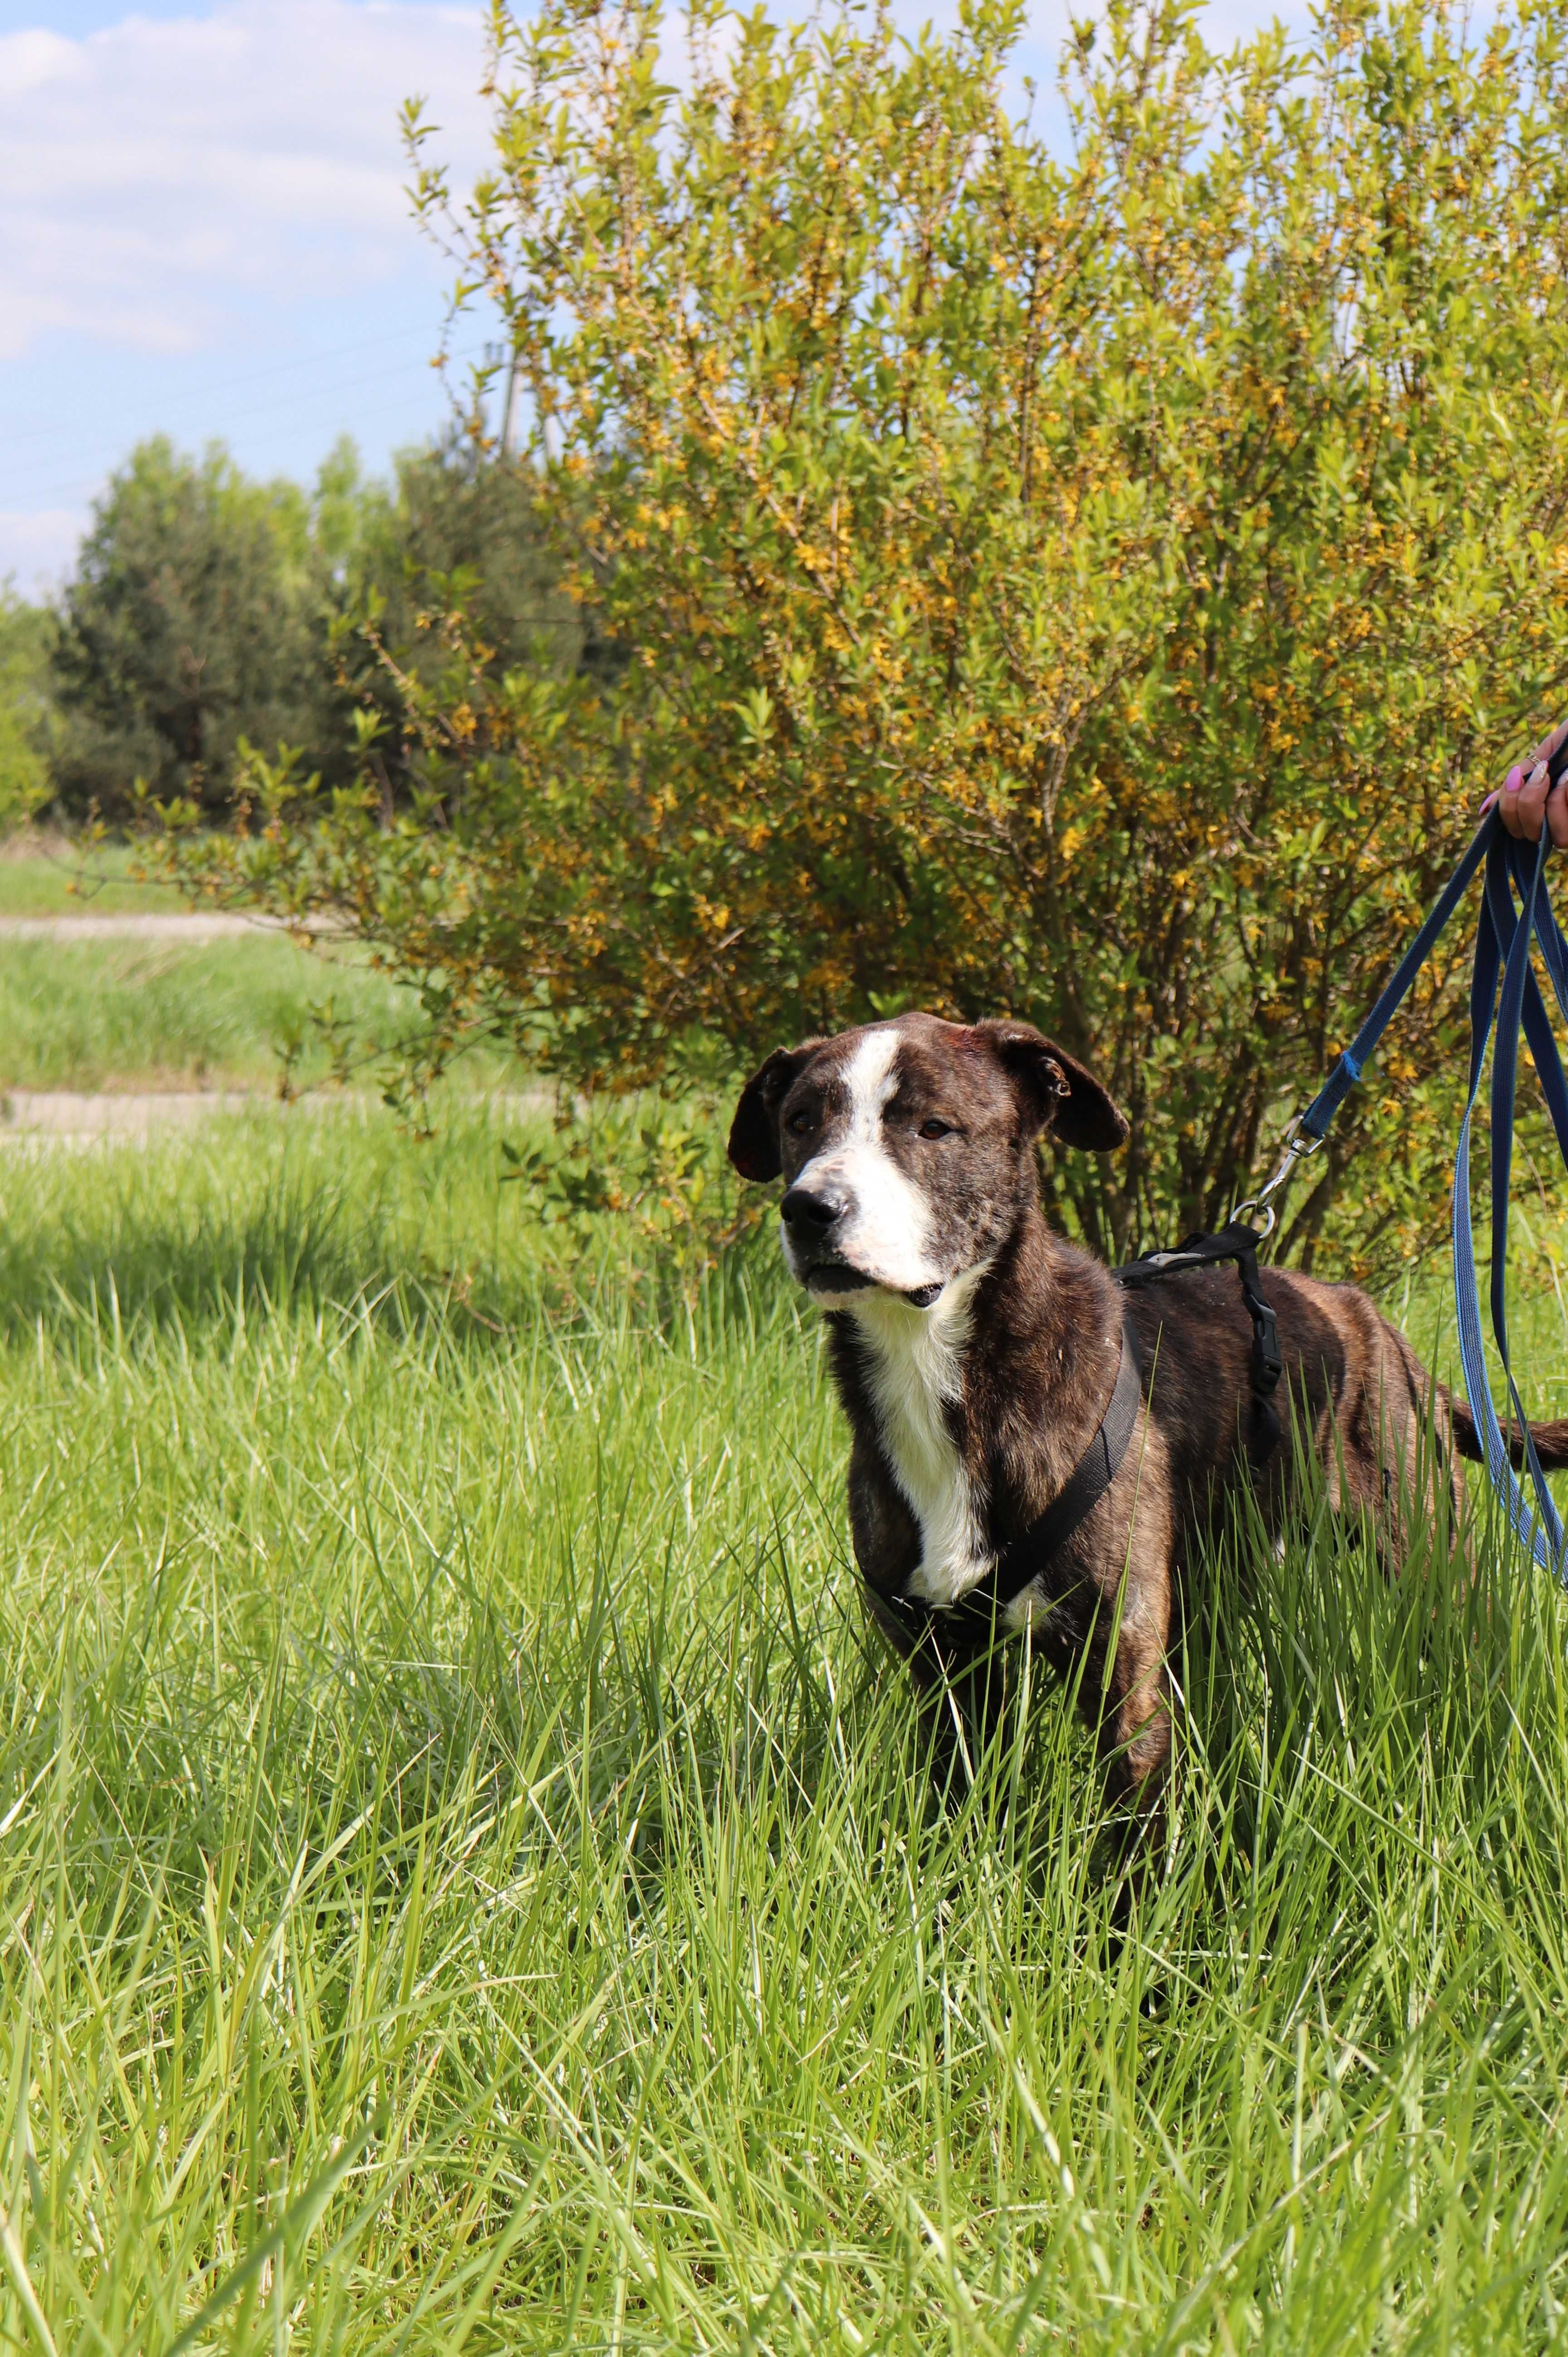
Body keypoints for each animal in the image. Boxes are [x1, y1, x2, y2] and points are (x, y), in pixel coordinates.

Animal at [726, 1013, 1565, 1800]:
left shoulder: (1121, 1674)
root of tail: (1382, 1332)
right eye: (799, 1121)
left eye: (932, 1126)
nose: (810, 1208)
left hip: (1430, 1563)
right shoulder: (948, 1678)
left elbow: (1128, 1837)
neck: (943, 1367)